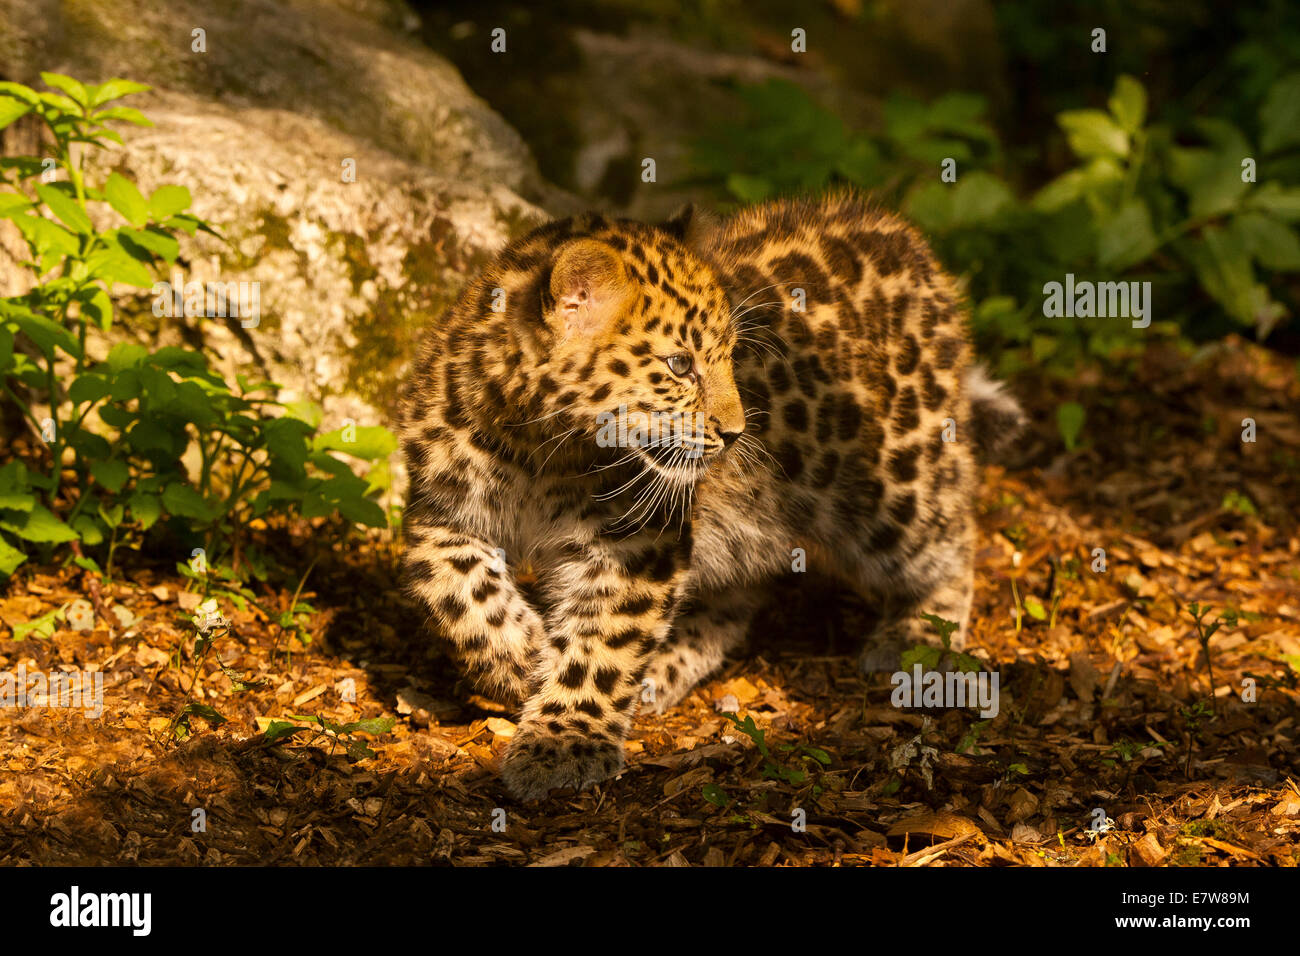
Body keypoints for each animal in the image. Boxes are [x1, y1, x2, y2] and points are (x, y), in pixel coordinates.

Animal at [398, 192, 1023, 801]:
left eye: (729, 356)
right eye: (680, 365)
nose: (738, 433)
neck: (538, 450)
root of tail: (909, 242)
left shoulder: (638, 541)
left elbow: (604, 644)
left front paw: (562, 742)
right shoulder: (437, 512)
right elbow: (453, 589)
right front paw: (521, 657)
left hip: (893, 479)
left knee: (950, 538)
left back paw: (918, 638)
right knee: (734, 600)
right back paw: (663, 669)